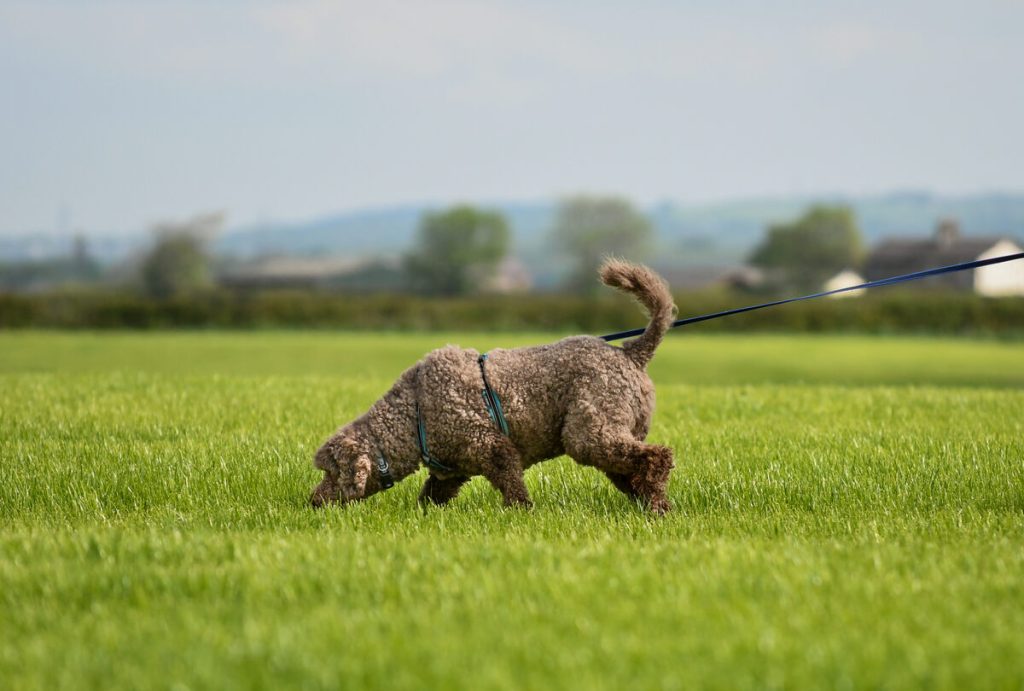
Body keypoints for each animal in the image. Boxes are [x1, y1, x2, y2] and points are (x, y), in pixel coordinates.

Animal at [311, 260, 679, 513]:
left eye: (331, 472)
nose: (313, 501)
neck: (413, 412)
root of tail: (632, 351)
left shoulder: (492, 446)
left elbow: (511, 484)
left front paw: (520, 512)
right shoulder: (451, 470)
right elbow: (431, 496)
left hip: (589, 432)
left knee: (656, 457)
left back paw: (657, 507)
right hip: (611, 434)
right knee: (633, 470)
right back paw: (649, 503)